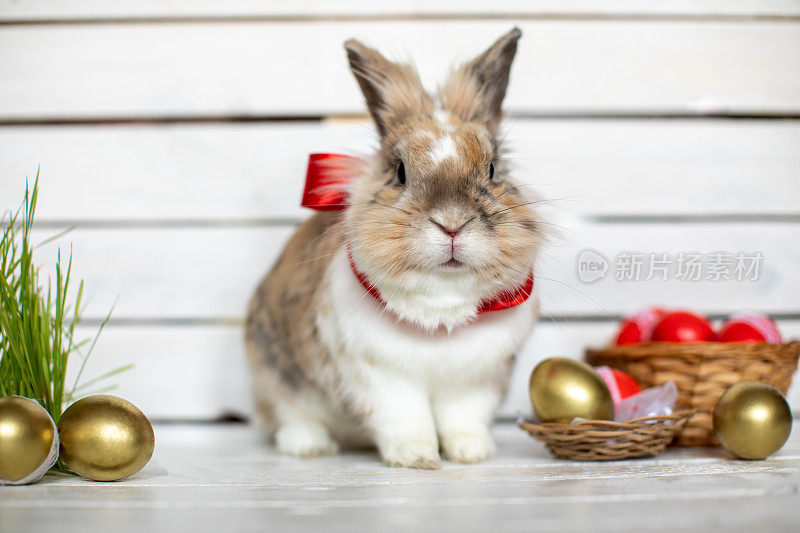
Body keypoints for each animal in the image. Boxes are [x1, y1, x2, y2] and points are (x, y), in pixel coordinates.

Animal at [247, 27, 540, 468]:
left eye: (492, 169)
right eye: (400, 171)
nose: (452, 223)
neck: (441, 313)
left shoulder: (476, 383)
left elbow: (463, 419)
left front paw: (471, 453)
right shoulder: (381, 380)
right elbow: (406, 419)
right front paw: (416, 457)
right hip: (274, 371)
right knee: (290, 413)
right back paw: (309, 445)